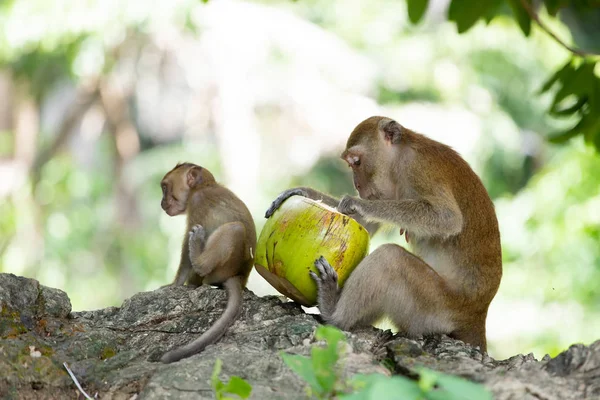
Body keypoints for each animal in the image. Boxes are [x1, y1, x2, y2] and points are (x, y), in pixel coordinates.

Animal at [159, 162, 255, 362]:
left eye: (164, 187)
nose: (162, 202)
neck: (203, 186)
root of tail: (240, 277)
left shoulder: (197, 203)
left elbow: (185, 253)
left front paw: (176, 284)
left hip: (223, 268)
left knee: (234, 229)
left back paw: (198, 256)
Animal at [264, 117, 504, 352]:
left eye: (357, 162)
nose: (357, 185)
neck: (401, 158)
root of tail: (477, 314)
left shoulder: (419, 168)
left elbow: (448, 218)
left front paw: (359, 204)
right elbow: (363, 224)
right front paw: (303, 192)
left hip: (436, 309)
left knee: (389, 259)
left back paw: (333, 312)